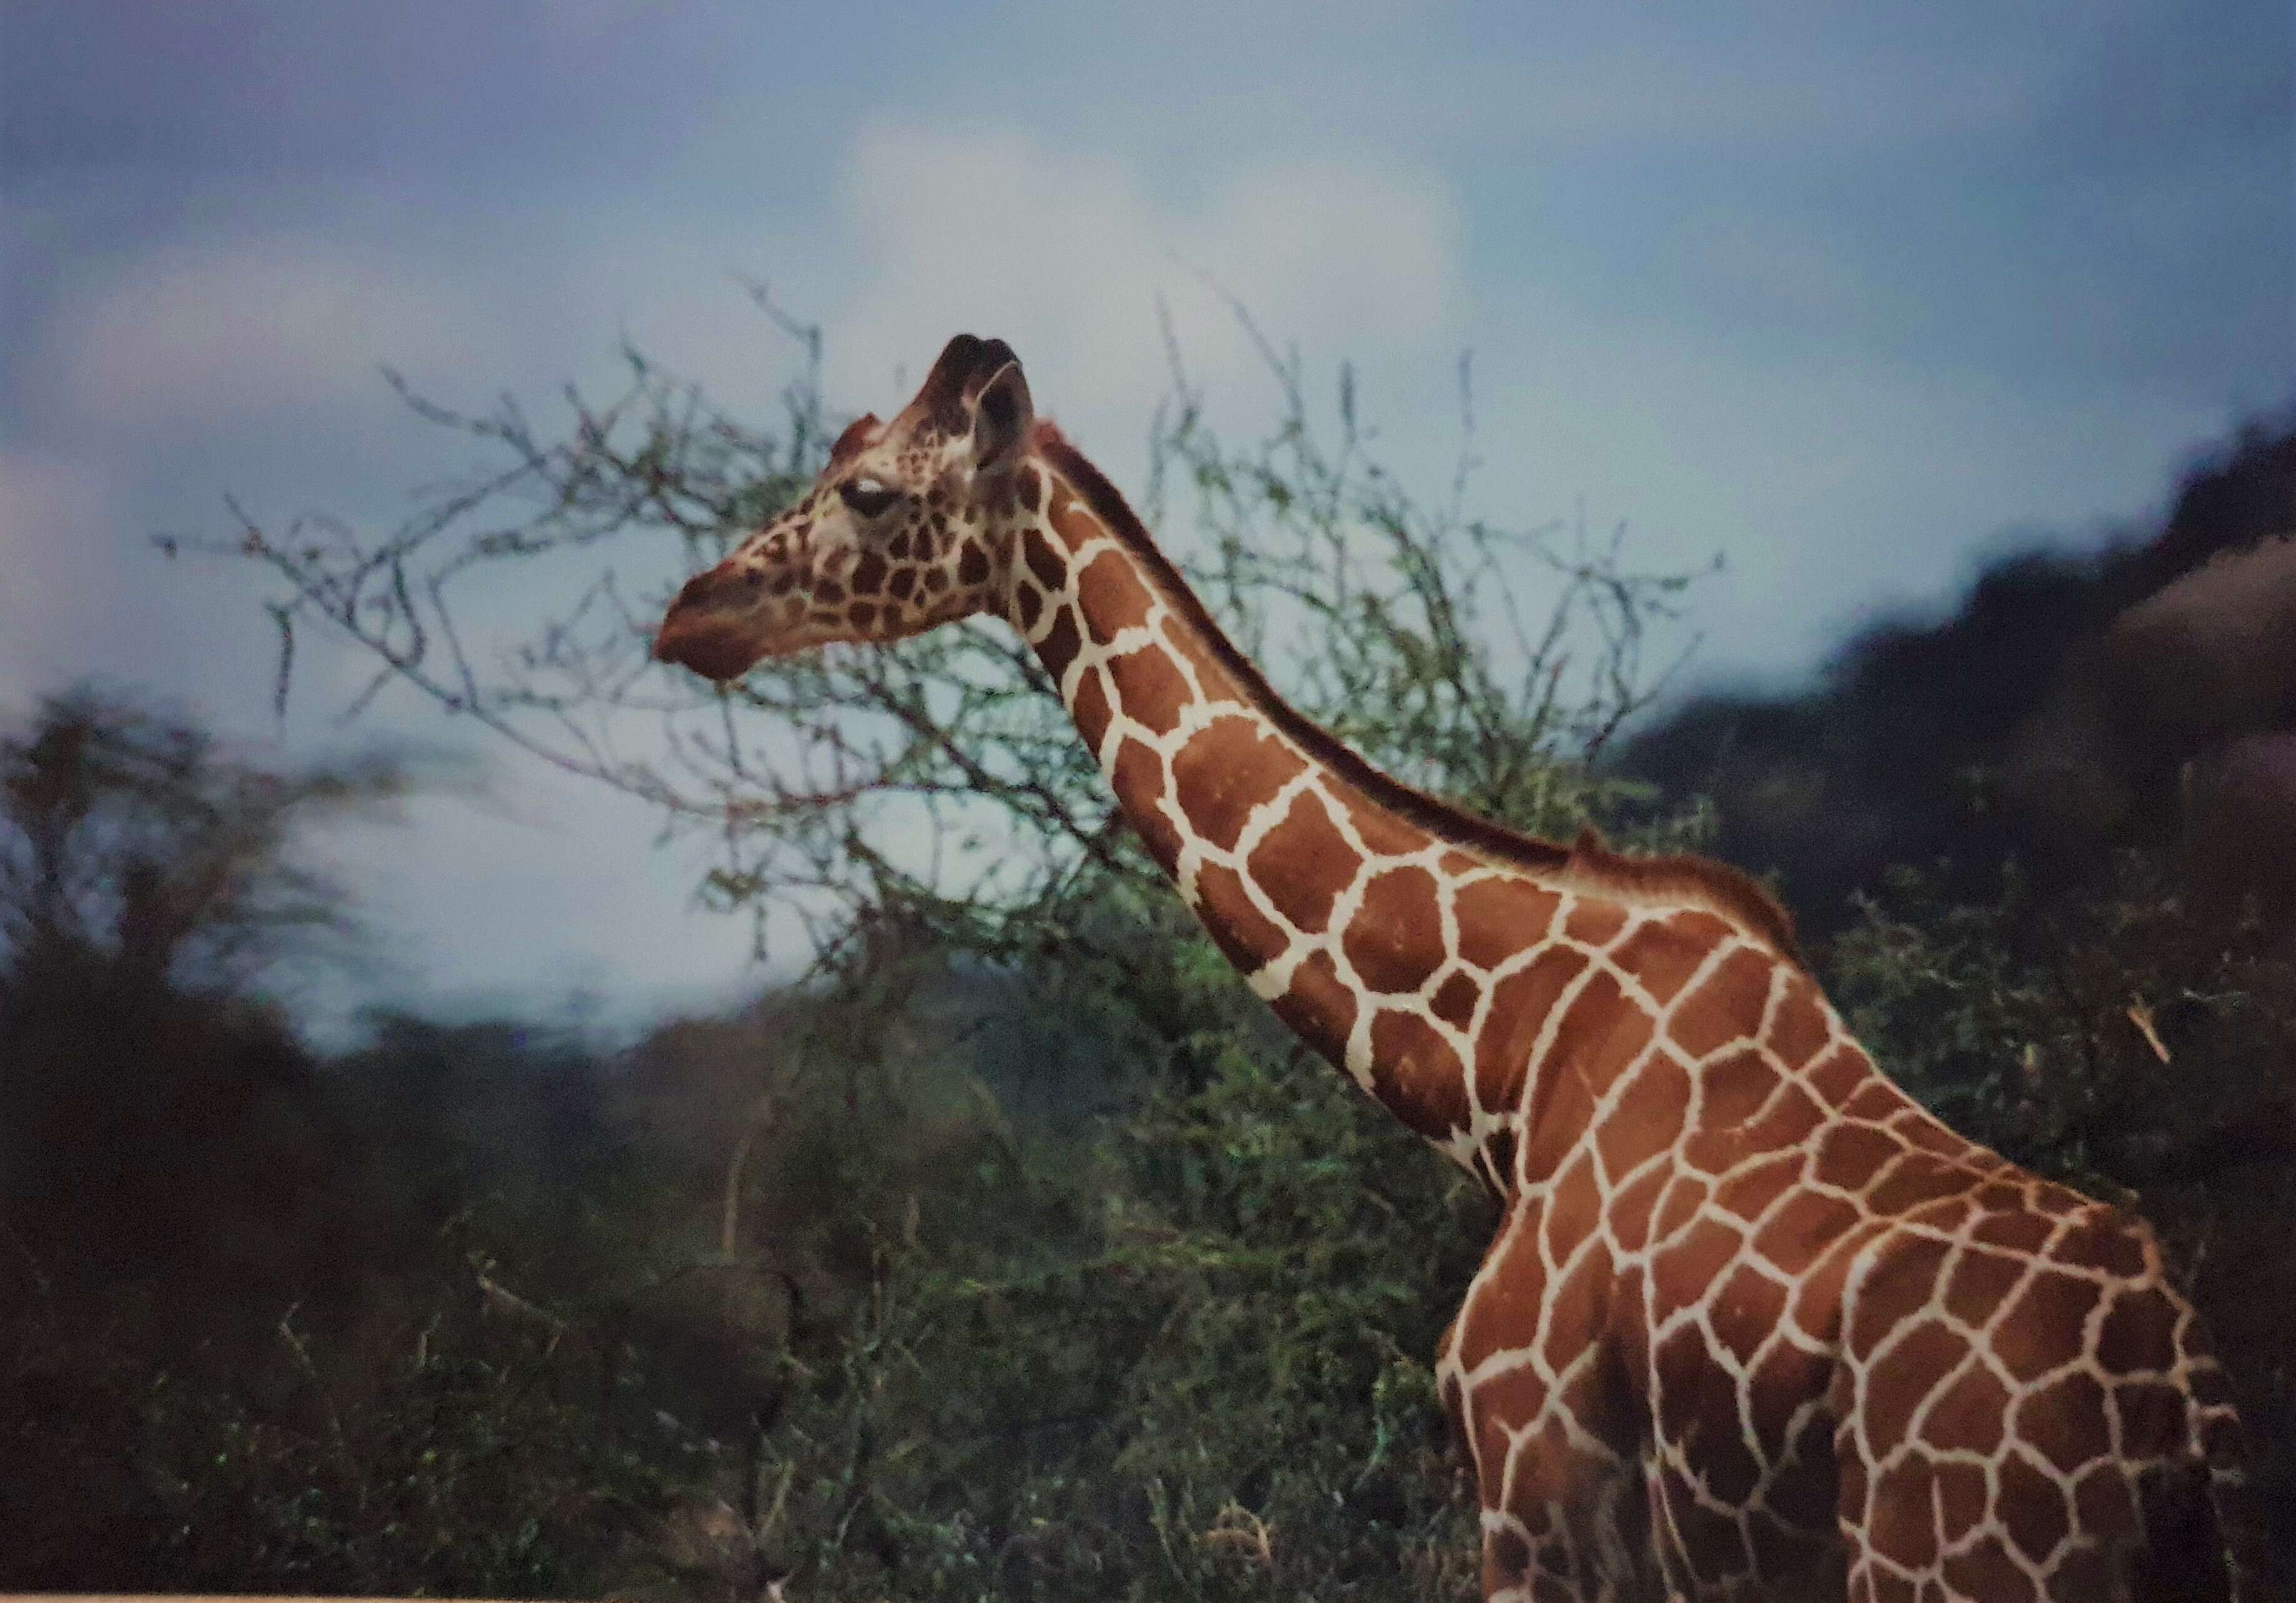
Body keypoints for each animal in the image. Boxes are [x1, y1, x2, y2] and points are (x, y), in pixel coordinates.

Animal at [652, 330, 2259, 1589]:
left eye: (867, 492)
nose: (689, 613)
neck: (1505, 1062)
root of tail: (2167, 1406)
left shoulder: (1532, 1483)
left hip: (1953, 1562)